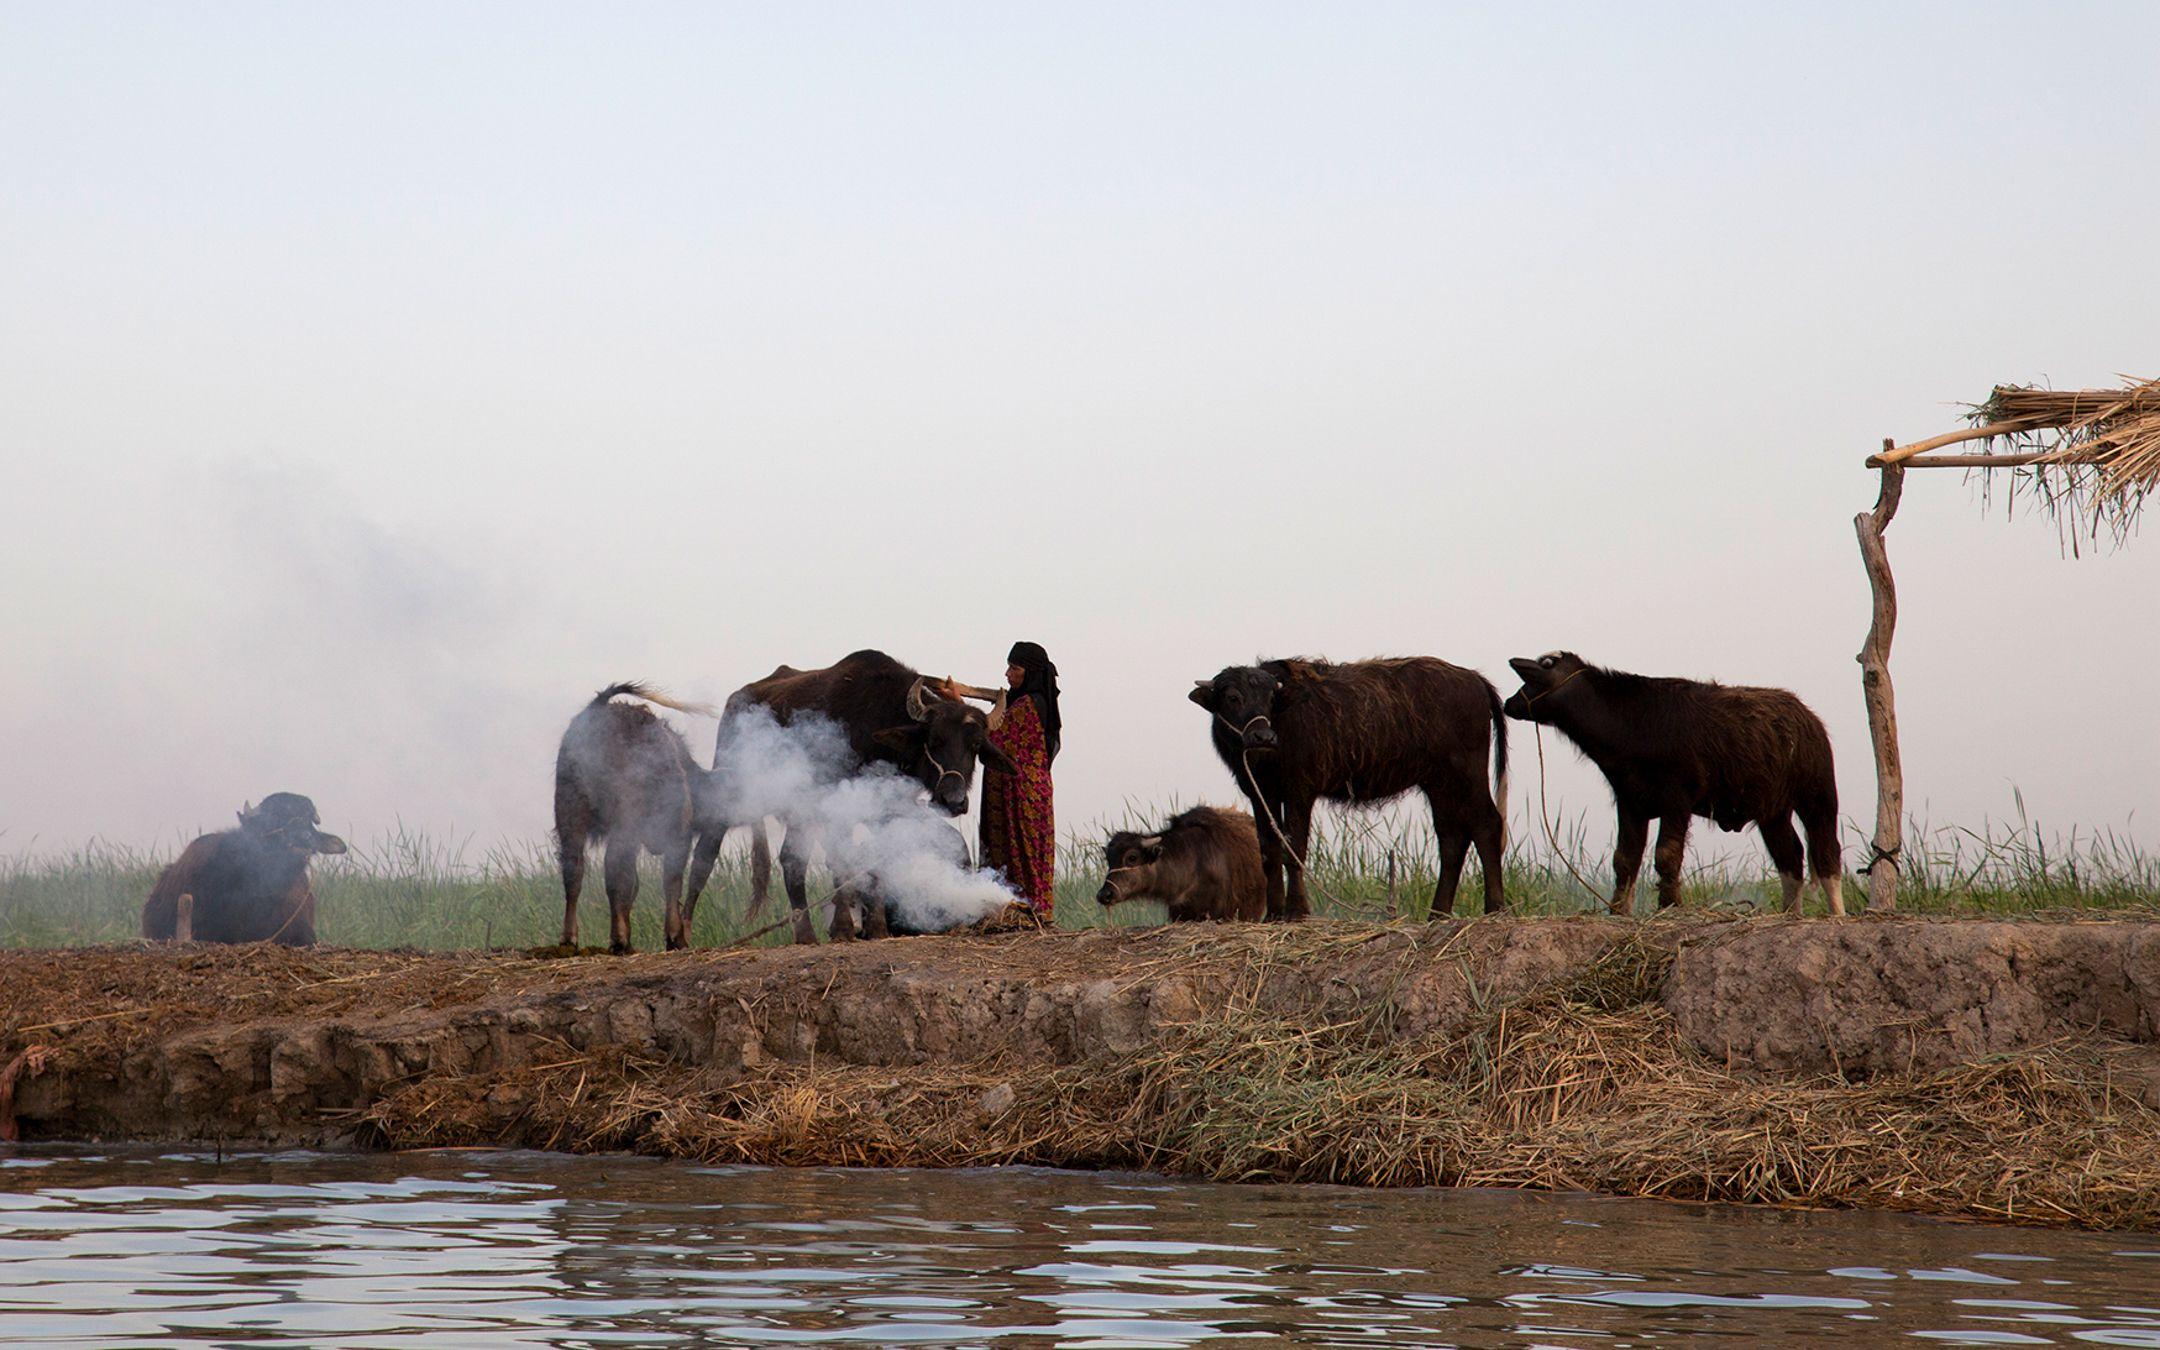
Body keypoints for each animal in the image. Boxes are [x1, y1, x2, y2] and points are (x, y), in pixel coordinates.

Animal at [554, 682, 722, 953]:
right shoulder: (678, 836)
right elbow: (671, 881)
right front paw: (675, 937)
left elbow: (634, 884)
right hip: (624, 822)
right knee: (613, 871)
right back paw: (619, 939)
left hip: (570, 814)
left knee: (574, 871)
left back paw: (570, 938)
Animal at [688, 650, 1014, 943]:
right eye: (935, 739)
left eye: (975, 745)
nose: (954, 801)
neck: (876, 724)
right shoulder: (838, 807)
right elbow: (841, 861)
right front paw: (844, 928)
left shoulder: (888, 810)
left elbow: (880, 862)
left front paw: (878, 928)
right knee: (705, 855)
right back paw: (682, 935)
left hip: (799, 811)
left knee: (792, 862)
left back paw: (806, 935)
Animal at [1191, 657, 1509, 920]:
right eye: (1233, 697)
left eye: (1271, 698)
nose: (1263, 737)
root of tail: (1474, 679)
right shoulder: (1261, 793)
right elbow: (1269, 851)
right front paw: (1274, 913)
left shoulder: (1300, 791)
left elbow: (1295, 848)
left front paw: (1296, 911)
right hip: (1439, 783)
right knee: (1452, 837)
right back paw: (1437, 913)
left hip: (1467, 774)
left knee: (1486, 824)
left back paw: (1494, 907)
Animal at [1502, 651, 1842, 916]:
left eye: (1544, 666)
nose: (1509, 703)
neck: (1630, 721)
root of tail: (1808, 718)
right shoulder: (1631, 802)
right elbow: (1624, 859)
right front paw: (1619, 910)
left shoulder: (1676, 801)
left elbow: (1666, 855)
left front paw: (1669, 904)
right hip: (1773, 812)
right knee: (1791, 856)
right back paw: (1790, 914)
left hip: (1818, 798)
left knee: (1826, 851)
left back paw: (1835, 912)